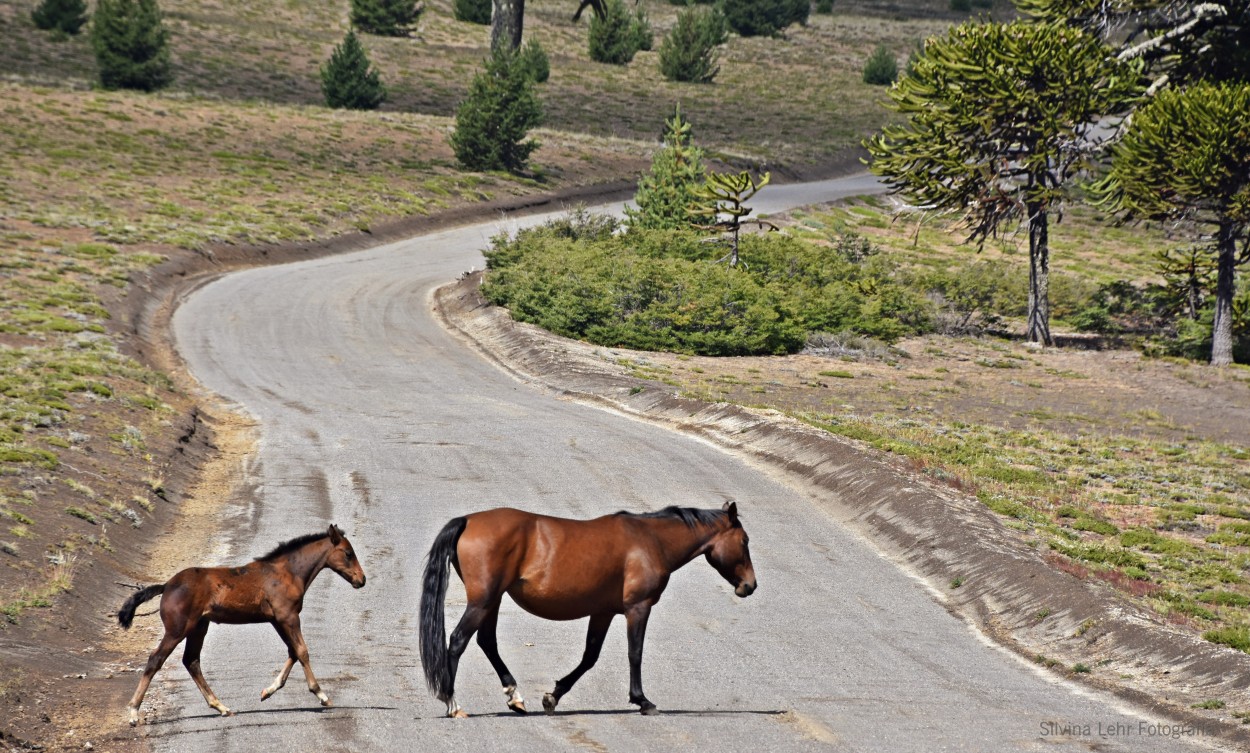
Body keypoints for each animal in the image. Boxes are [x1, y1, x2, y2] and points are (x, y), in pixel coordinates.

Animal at [116, 522, 365, 720]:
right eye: (348, 553)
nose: (361, 580)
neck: (288, 573)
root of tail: (167, 585)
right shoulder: (288, 617)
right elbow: (302, 651)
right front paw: (321, 695)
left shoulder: (278, 620)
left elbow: (293, 652)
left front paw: (268, 691)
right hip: (178, 629)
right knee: (156, 659)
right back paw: (134, 712)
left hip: (199, 627)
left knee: (191, 661)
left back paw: (221, 707)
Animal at [420, 500, 755, 710]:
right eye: (745, 541)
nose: (749, 585)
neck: (650, 540)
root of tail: (468, 521)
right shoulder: (638, 608)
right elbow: (635, 653)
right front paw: (642, 700)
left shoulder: (603, 612)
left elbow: (590, 656)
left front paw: (553, 696)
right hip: (483, 601)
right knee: (458, 641)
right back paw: (452, 702)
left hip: (492, 601)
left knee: (486, 642)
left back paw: (515, 697)